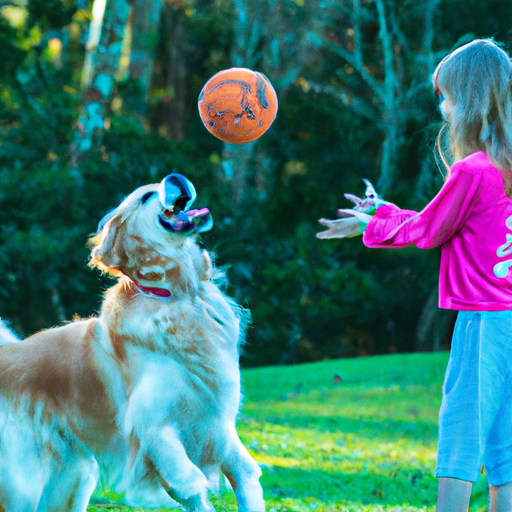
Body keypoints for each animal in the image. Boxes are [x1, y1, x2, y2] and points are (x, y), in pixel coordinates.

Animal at [0, 175, 264, 512]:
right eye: (147, 196)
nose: (176, 178)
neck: (179, 296)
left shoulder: (215, 423)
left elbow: (245, 473)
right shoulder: (154, 429)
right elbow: (191, 485)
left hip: (76, 476)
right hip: (22, 482)